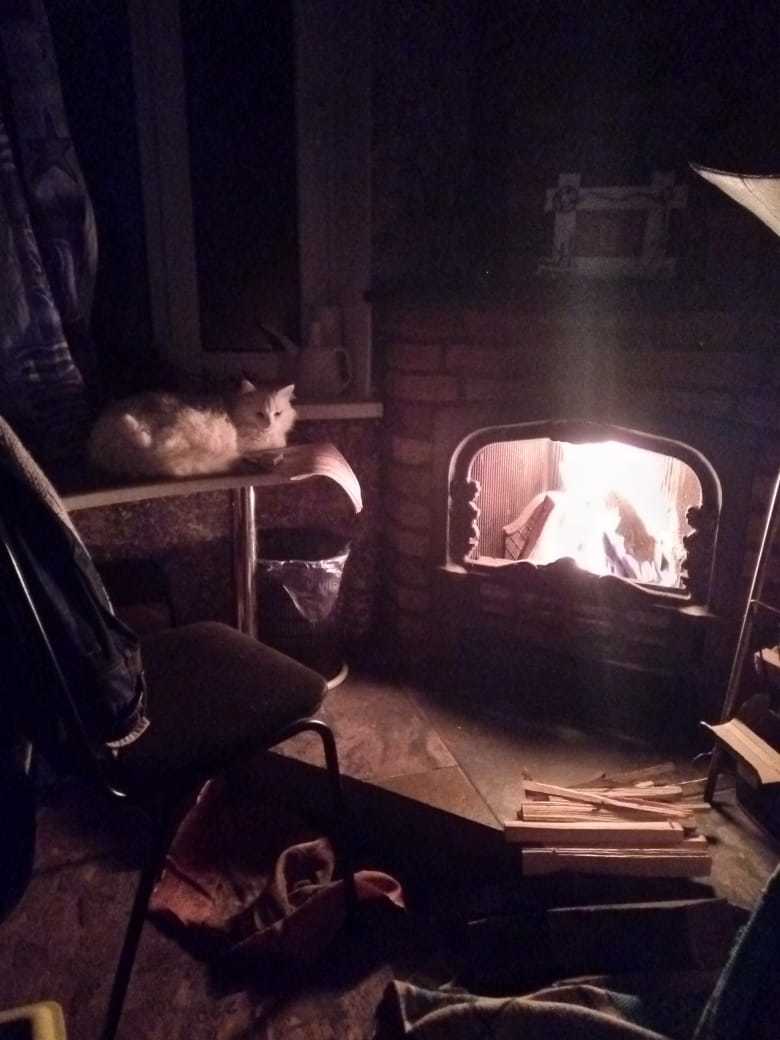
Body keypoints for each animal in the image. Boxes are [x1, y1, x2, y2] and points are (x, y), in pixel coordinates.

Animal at [86, 382, 297, 478]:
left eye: (277, 413)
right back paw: (131, 424)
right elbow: (278, 442)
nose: (269, 424)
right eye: (259, 414)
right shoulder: (248, 443)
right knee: (147, 442)